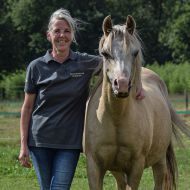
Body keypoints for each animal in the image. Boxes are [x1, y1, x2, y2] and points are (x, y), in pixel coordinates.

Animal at [83, 15, 190, 190]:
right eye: (105, 53)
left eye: (135, 53)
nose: (122, 85)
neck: (116, 117)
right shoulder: (94, 166)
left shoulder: (136, 166)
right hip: (117, 170)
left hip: (159, 161)